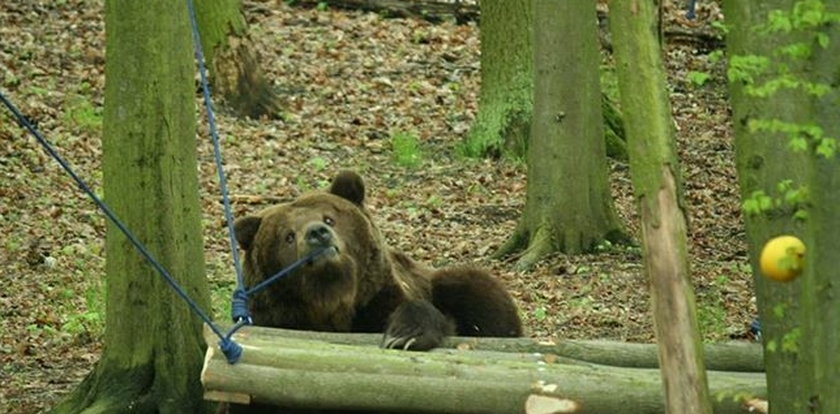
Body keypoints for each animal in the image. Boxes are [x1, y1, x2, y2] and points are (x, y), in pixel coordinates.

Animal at [235, 170, 524, 350]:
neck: (332, 300)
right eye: (288, 236)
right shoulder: (275, 317)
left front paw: (405, 336)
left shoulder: (378, 299)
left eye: (329, 218)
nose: (317, 233)